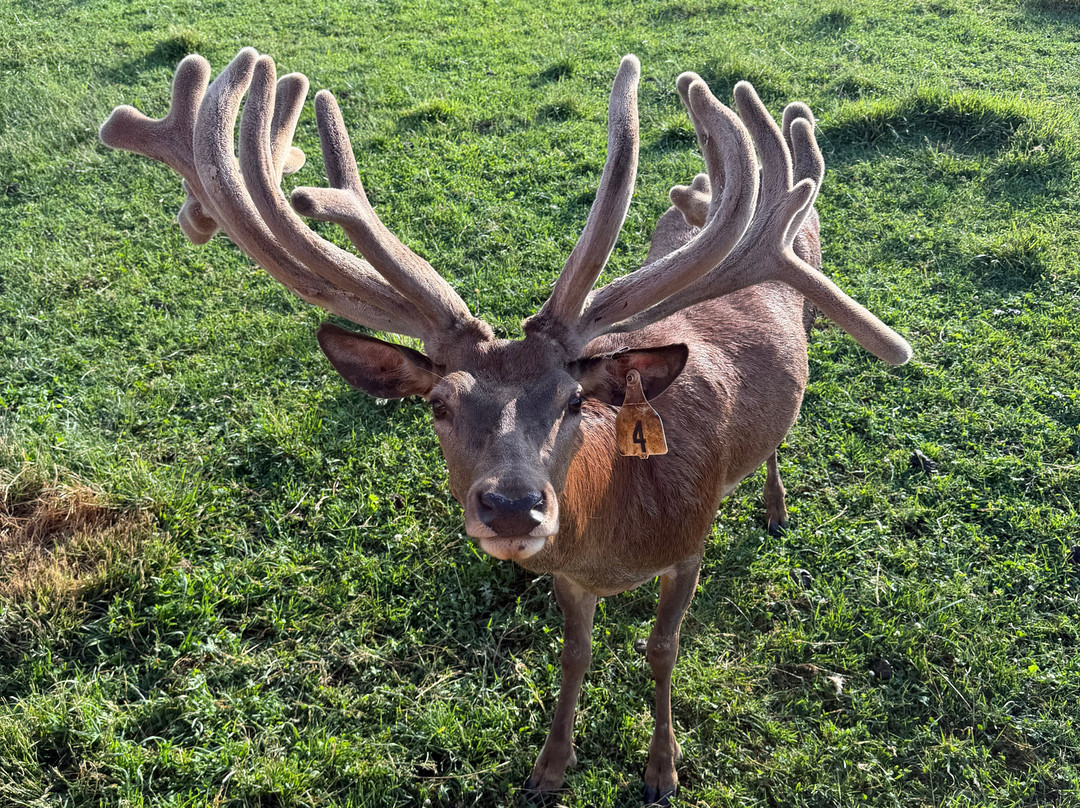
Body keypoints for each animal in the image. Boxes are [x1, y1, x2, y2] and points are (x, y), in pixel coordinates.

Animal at [100, 48, 912, 804]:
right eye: (438, 404)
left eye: (575, 401)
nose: (514, 507)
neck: (619, 536)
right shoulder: (569, 576)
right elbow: (575, 655)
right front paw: (550, 769)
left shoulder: (689, 548)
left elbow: (662, 648)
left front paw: (662, 770)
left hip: (811, 317)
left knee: (779, 439)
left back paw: (775, 507)